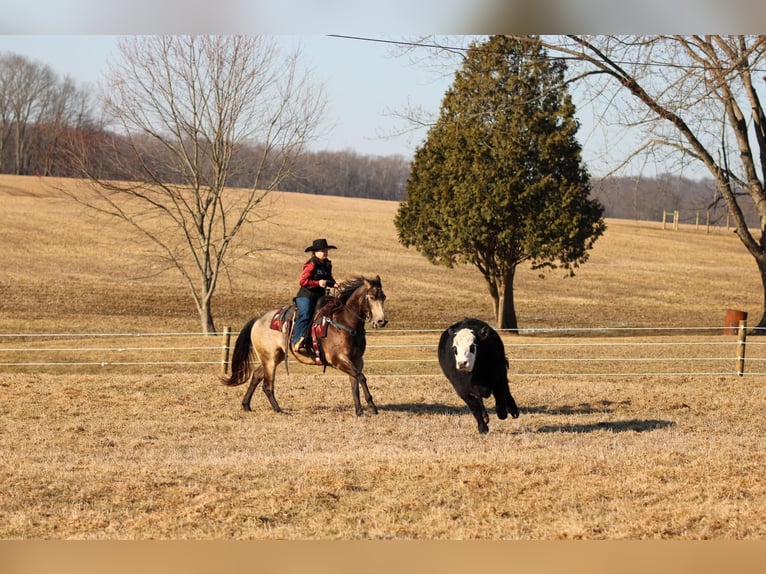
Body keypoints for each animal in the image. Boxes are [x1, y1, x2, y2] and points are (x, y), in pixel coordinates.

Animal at [222, 276, 390, 416]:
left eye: (384, 297)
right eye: (372, 297)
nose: (382, 321)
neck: (344, 323)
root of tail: (258, 319)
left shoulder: (356, 361)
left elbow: (355, 383)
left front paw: (359, 411)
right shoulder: (339, 360)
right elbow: (361, 377)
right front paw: (372, 407)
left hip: (274, 357)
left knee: (256, 375)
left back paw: (246, 405)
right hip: (269, 359)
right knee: (267, 385)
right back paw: (279, 410)